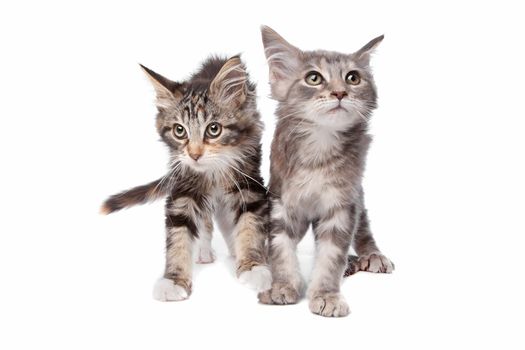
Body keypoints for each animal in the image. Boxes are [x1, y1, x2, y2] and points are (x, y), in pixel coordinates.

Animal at [103, 56, 274, 300]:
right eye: (179, 130)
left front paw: (253, 265)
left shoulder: (248, 182)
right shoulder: (183, 188)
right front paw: (173, 280)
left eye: (213, 129)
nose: (194, 155)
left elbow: (249, 224)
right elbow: (178, 235)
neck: (212, 172)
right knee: (207, 223)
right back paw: (205, 252)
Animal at [258, 27, 392, 318]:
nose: (340, 93)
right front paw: (283, 285)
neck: (319, 148)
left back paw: (371, 254)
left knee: (364, 226)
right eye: (314, 78)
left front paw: (326, 295)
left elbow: (331, 256)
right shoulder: (281, 201)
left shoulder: (342, 205)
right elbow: (281, 248)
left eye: (353, 78)